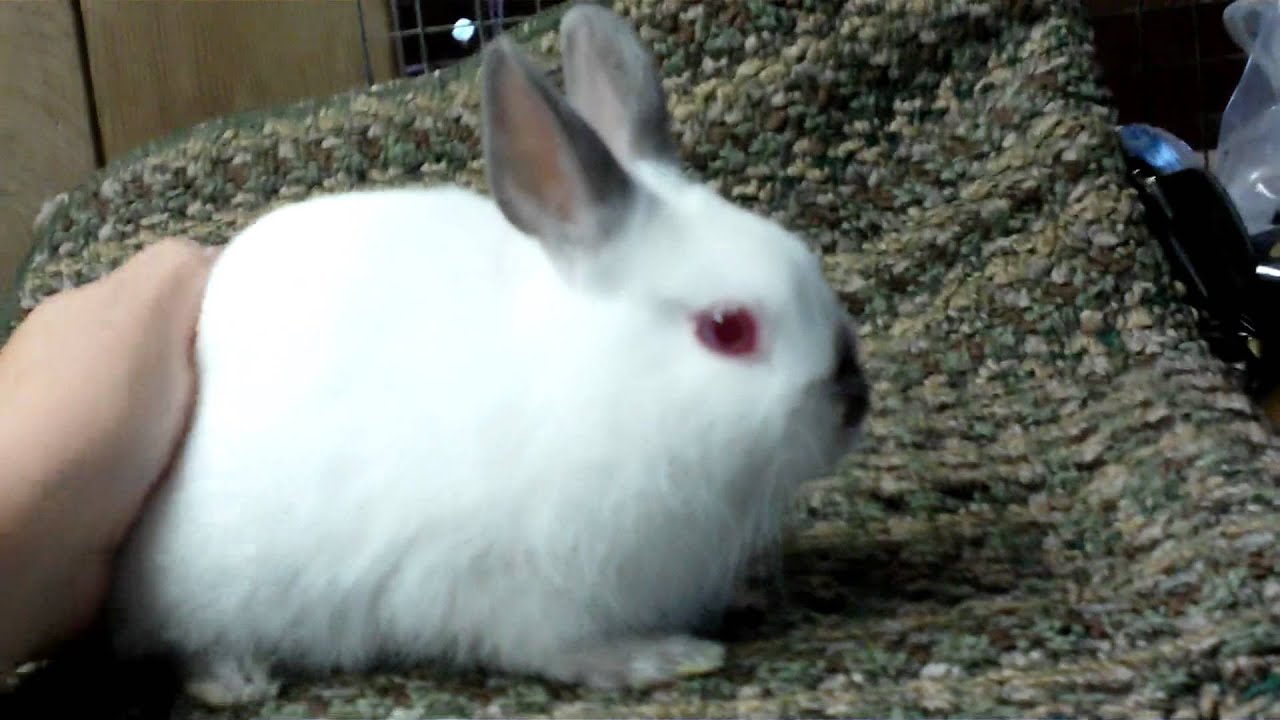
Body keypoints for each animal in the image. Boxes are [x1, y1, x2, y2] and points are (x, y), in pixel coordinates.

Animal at [103, 2, 870, 708]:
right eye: (726, 329)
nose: (854, 405)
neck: (591, 382)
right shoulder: (513, 588)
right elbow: (557, 649)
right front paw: (660, 658)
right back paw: (237, 680)